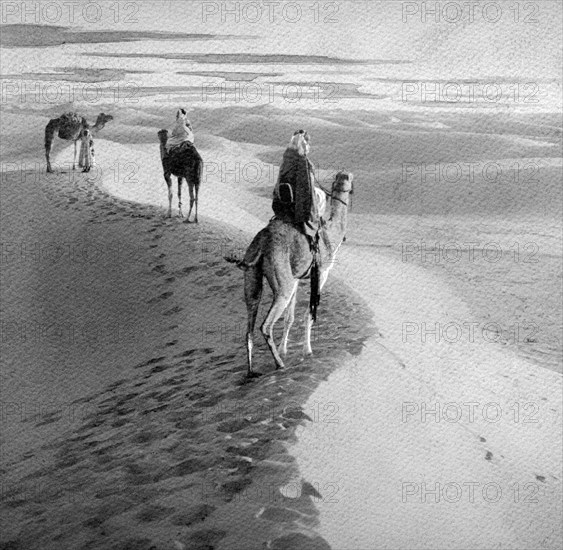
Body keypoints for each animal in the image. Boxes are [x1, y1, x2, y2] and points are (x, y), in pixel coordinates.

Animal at [228, 172, 352, 378]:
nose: (345, 176)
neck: (330, 235)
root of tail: (262, 243)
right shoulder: (321, 274)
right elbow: (308, 313)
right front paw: (307, 351)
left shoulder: (297, 278)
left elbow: (289, 317)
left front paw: (285, 349)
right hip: (282, 282)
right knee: (265, 325)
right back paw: (279, 364)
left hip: (254, 277)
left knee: (249, 324)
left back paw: (252, 371)